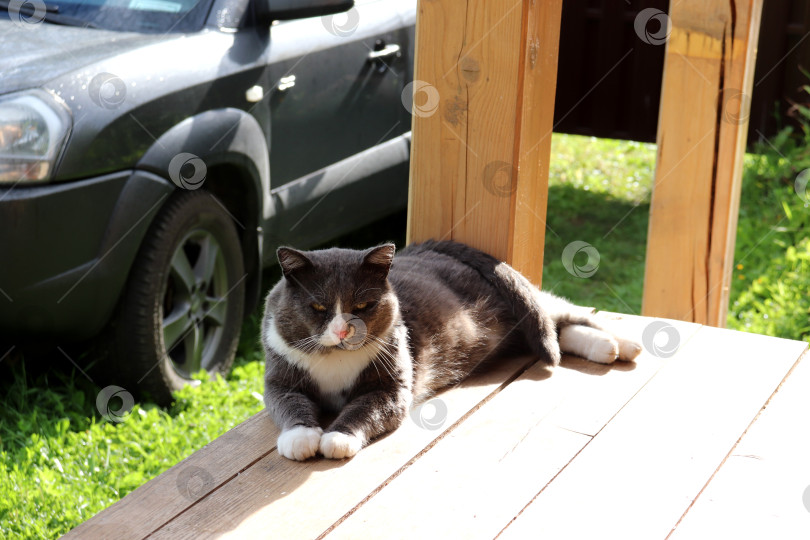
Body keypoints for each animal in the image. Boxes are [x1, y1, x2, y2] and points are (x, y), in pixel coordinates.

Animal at [262, 240, 640, 460]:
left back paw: (624, 344)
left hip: (525, 307)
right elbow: (289, 404)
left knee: (562, 313)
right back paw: (606, 347)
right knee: (558, 328)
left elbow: (362, 409)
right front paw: (300, 437)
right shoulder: (279, 380)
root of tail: (434, 248)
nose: (343, 330)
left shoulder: (391, 389)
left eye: (363, 306)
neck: (335, 359)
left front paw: (336, 439)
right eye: (318, 308)